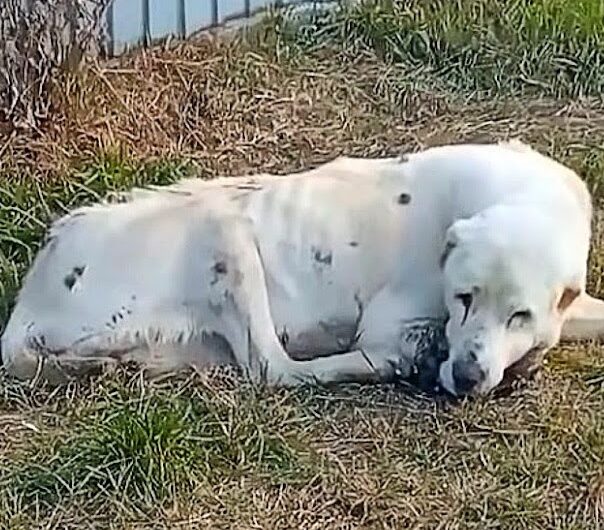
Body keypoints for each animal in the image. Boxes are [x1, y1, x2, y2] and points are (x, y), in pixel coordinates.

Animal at [1, 138, 604, 394]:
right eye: (464, 298)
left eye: (519, 315)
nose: (466, 376)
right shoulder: (389, 326)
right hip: (224, 228)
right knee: (274, 368)